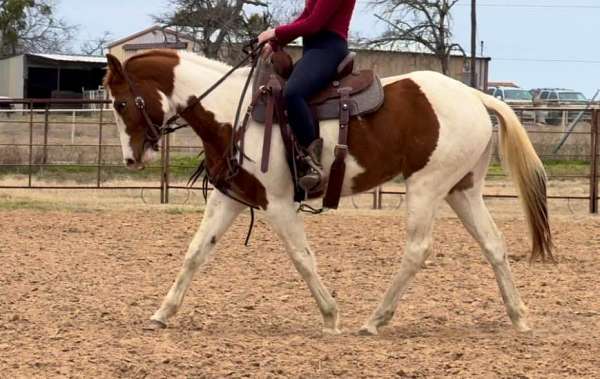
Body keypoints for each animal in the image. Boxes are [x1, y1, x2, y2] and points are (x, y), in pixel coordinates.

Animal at [103, 49, 552, 336]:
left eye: (121, 103)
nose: (130, 158)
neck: (236, 111)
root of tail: (475, 95)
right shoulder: (230, 198)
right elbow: (196, 252)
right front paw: (162, 313)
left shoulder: (277, 205)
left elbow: (302, 258)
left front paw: (331, 317)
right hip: (462, 189)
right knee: (493, 244)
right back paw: (519, 316)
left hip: (426, 187)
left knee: (417, 250)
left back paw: (374, 320)